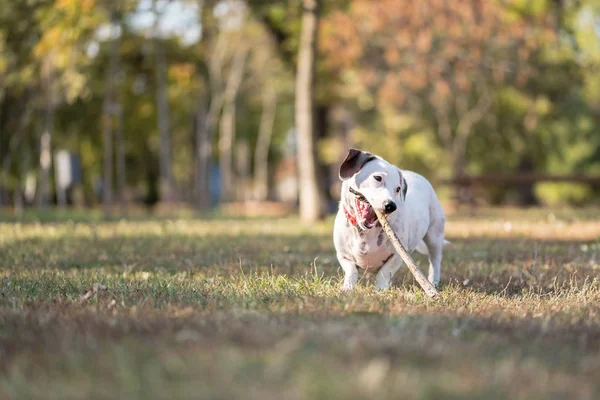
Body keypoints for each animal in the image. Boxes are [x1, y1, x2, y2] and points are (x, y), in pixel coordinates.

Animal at [336, 148, 448, 290]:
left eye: (398, 189)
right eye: (377, 178)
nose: (391, 206)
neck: (366, 233)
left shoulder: (396, 256)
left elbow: (384, 273)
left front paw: (380, 290)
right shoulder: (344, 256)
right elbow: (351, 271)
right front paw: (347, 288)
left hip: (435, 236)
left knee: (435, 260)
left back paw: (433, 282)